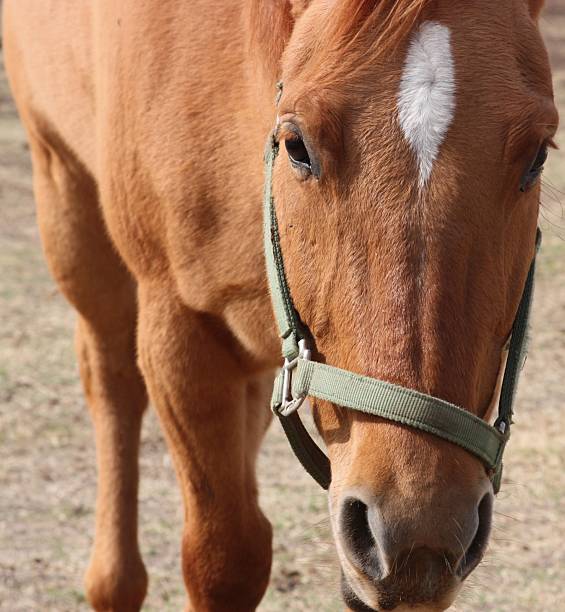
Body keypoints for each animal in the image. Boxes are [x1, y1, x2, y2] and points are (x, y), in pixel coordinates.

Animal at [1, 0, 556, 608]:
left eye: (537, 157)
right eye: (296, 145)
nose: (418, 535)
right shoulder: (181, 332)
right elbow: (224, 556)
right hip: (66, 194)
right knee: (112, 379)